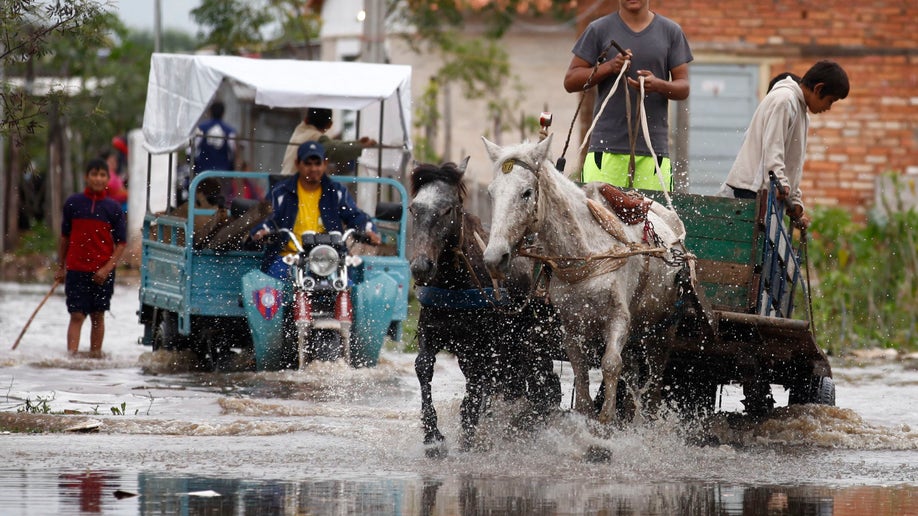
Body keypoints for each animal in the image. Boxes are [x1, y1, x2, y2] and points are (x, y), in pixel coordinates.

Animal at [408, 159, 562, 455]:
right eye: (413, 208)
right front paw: (433, 436)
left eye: (448, 209)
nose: (421, 267)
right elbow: (423, 366)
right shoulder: (431, 332)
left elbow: (476, 386)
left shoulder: (481, 347)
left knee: (542, 388)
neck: (456, 286)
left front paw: (468, 434)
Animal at [481, 134, 691, 425]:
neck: (587, 251)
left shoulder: (618, 318)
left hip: (662, 331)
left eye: (527, 192)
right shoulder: (572, 325)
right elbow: (580, 374)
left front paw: (606, 420)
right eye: (491, 193)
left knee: (654, 380)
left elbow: (610, 364)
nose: (494, 257)